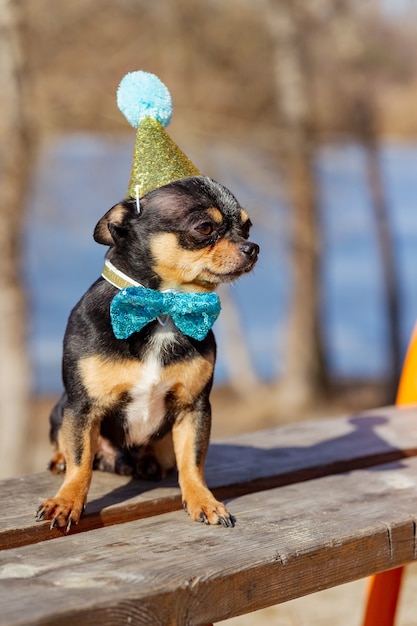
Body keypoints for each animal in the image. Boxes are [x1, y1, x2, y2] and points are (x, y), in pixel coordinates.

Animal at [35, 176, 258, 532]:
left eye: (247, 228)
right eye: (204, 227)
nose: (253, 248)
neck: (163, 307)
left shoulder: (194, 409)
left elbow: (193, 462)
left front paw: (203, 501)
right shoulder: (82, 408)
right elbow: (80, 461)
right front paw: (67, 501)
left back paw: (152, 461)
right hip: (61, 409)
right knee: (65, 445)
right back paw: (59, 460)